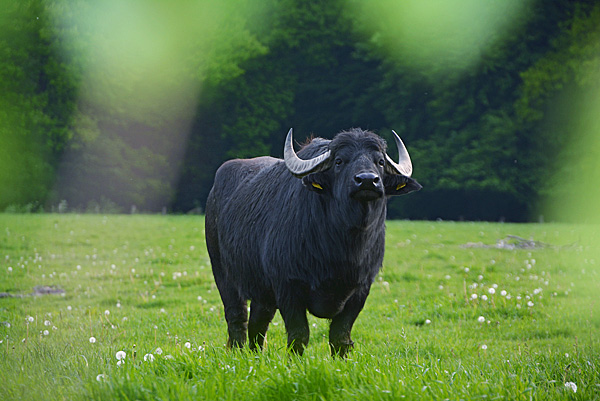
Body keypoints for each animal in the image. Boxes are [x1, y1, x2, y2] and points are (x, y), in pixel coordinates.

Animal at [206, 126, 422, 354]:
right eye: (339, 161)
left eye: (379, 161)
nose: (366, 180)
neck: (342, 247)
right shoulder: (288, 288)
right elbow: (298, 336)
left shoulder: (360, 290)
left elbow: (340, 337)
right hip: (223, 274)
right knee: (237, 318)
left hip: (262, 292)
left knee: (258, 322)